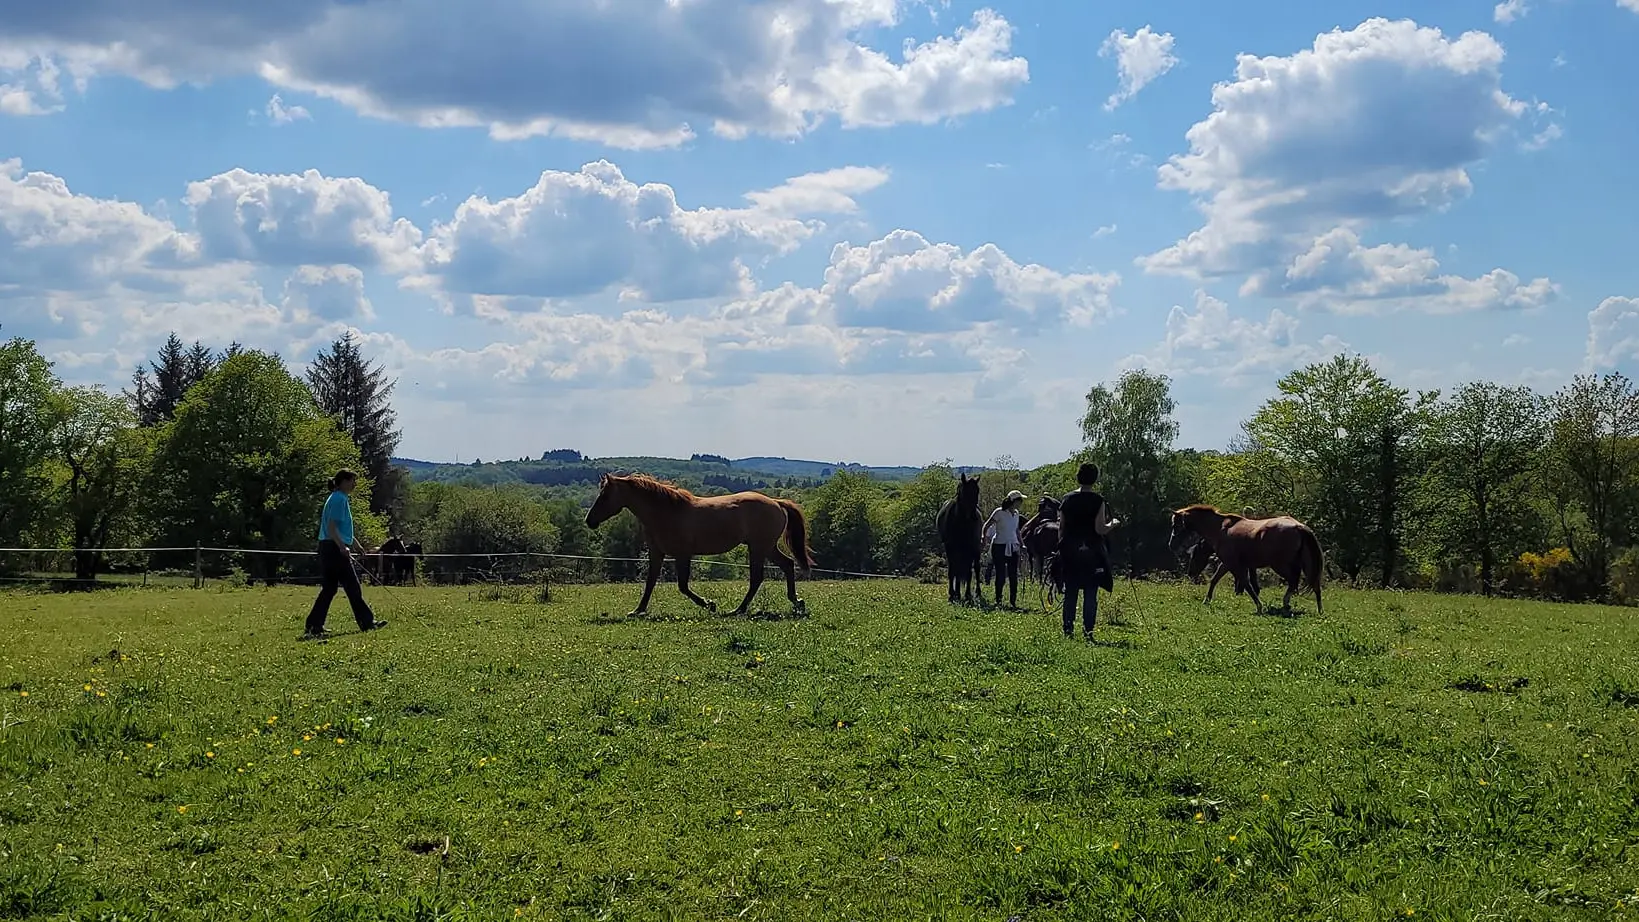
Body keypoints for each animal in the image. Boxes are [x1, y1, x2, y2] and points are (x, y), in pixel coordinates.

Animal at [590, 474, 819, 619]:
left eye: (605, 495)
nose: (589, 520)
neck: (667, 512)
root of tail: (776, 502)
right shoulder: (657, 553)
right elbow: (650, 583)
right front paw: (638, 611)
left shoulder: (683, 554)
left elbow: (683, 586)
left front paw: (710, 605)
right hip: (767, 547)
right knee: (787, 565)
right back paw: (796, 602)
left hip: (759, 547)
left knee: (757, 578)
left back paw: (738, 610)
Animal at [937, 474, 983, 605]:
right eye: (965, 492)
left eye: (977, 491)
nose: (973, 516)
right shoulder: (950, 548)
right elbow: (953, 570)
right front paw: (952, 594)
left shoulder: (970, 548)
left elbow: (968, 572)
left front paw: (967, 595)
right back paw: (957, 593)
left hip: (975, 549)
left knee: (976, 568)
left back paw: (976, 592)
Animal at [1173, 501, 1324, 615]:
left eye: (1176, 524)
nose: (1190, 574)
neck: (1220, 528)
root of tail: (1299, 527)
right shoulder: (1228, 564)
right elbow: (1215, 580)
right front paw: (1207, 600)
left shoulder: (1233, 564)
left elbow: (1246, 583)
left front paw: (1259, 606)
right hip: (1303, 564)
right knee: (1313, 584)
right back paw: (1318, 610)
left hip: (1280, 565)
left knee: (1293, 581)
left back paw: (1286, 603)